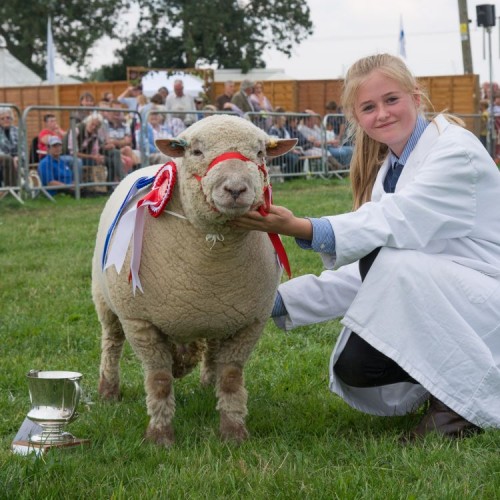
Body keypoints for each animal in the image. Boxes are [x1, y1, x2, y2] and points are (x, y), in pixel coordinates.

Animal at [91, 114, 296, 446]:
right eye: (196, 152)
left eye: (261, 154)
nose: (236, 189)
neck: (210, 263)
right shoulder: (140, 322)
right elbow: (159, 380)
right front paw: (160, 437)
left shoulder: (249, 321)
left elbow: (231, 378)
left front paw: (233, 432)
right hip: (106, 301)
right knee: (111, 344)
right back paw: (109, 391)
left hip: (217, 315)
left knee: (209, 351)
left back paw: (204, 380)